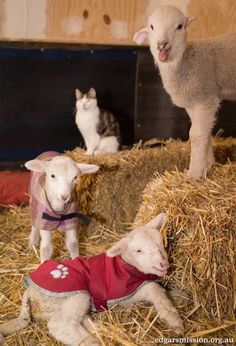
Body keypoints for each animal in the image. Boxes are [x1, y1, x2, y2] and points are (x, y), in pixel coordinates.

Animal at [0, 212, 184, 344]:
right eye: (138, 251)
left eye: (161, 243)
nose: (163, 264)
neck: (125, 265)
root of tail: (29, 293)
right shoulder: (121, 295)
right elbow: (155, 288)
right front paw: (174, 320)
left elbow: (162, 288)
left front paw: (179, 295)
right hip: (76, 294)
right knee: (61, 324)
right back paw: (93, 341)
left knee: (81, 320)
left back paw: (106, 331)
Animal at [134, 5, 236, 180]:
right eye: (152, 27)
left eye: (180, 26)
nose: (162, 44)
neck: (185, 60)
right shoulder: (192, 100)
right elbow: (204, 133)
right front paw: (207, 167)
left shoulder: (205, 96)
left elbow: (196, 134)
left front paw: (193, 174)